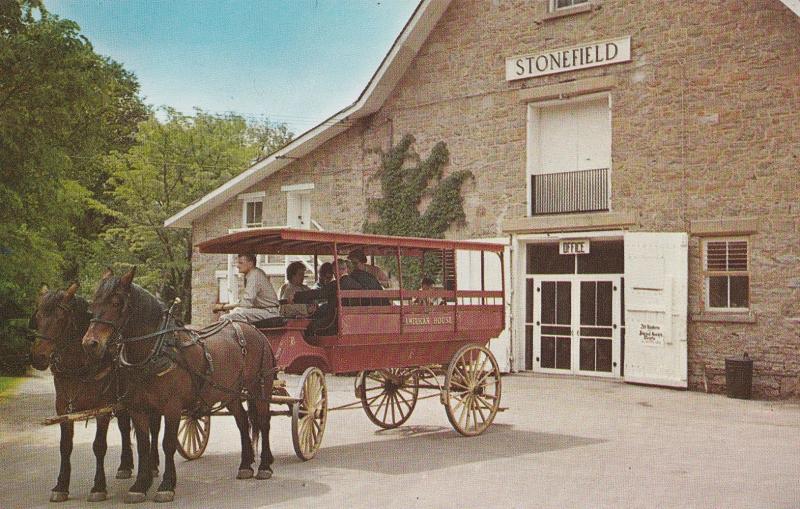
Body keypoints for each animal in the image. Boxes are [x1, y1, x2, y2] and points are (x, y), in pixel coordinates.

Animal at [30, 284, 162, 502]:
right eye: (38, 317)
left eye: (60, 319)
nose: (37, 357)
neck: (79, 366)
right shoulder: (63, 408)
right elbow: (65, 446)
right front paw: (61, 486)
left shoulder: (102, 409)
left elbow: (99, 445)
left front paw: (98, 487)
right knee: (124, 428)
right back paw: (125, 465)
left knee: (154, 428)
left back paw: (152, 465)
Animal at [81, 268, 276, 502]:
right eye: (94, 302)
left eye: (117, 302)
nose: (90, 343)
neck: (157, 351)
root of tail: (254, 331)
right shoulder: (138, 408)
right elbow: (144, 445)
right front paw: (140, 485)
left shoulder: (172, 407)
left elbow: (168, 443)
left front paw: (166, 485)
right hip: (230, 393)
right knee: (243, 421)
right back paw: (246, 465)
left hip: (260, 386)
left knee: (263, 421)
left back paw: (264, 465)